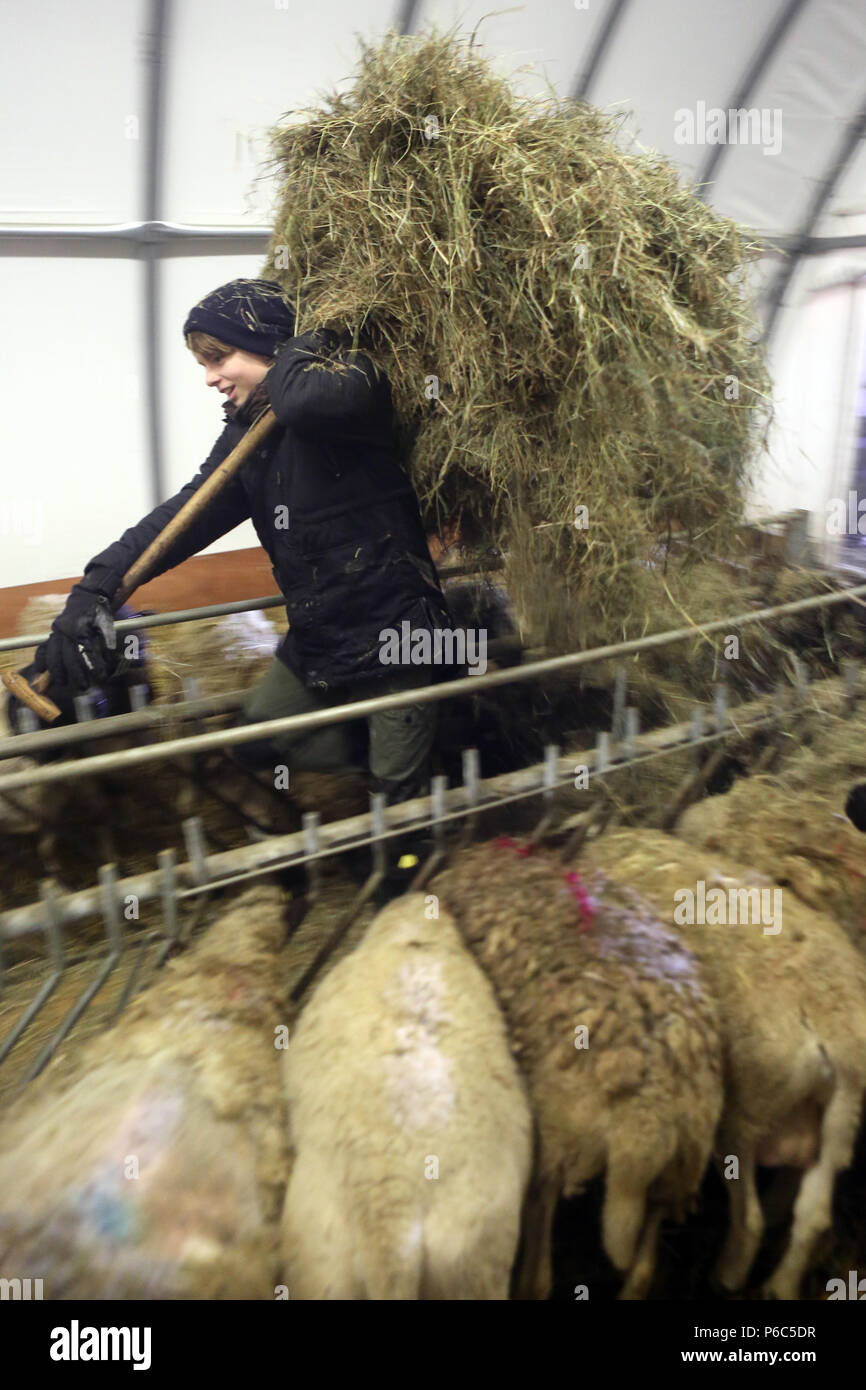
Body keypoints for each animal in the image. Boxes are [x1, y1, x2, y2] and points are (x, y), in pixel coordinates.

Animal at [428, 834, 722, 1301]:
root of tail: (650, 1111)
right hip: (682, 1161)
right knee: (644, 1263)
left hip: (559, 1141)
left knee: (543, 1253)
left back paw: (530, 1278)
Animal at [575, 828, 866, 1295]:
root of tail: (834, 1023)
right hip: (839, 1122)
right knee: (813, 1216)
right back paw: (780, 1286)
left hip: (744, 1115)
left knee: (750, 1221)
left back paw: (726, 1277)